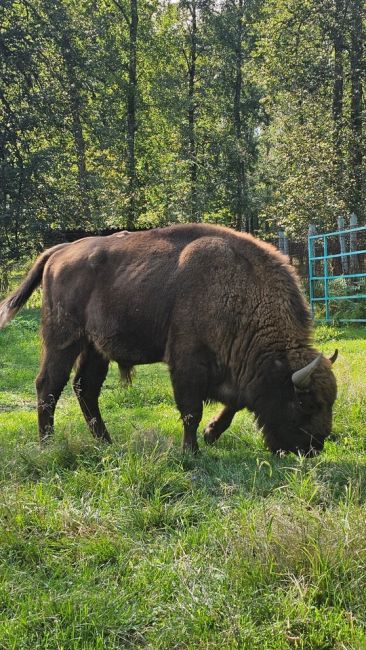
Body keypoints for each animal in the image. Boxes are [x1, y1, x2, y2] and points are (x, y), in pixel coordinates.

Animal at [0, 225, 338, 454]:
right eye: (304, 402)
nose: (313, 448)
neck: (238, 289)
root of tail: (58, 252)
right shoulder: (187, 361)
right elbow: (191, 410)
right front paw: (192, 451)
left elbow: (233, 405)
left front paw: (210, 434)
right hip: (63, 339)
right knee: (49, 385)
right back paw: (48, 444)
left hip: (95, 348)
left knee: (86, 388)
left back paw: (106, 442)